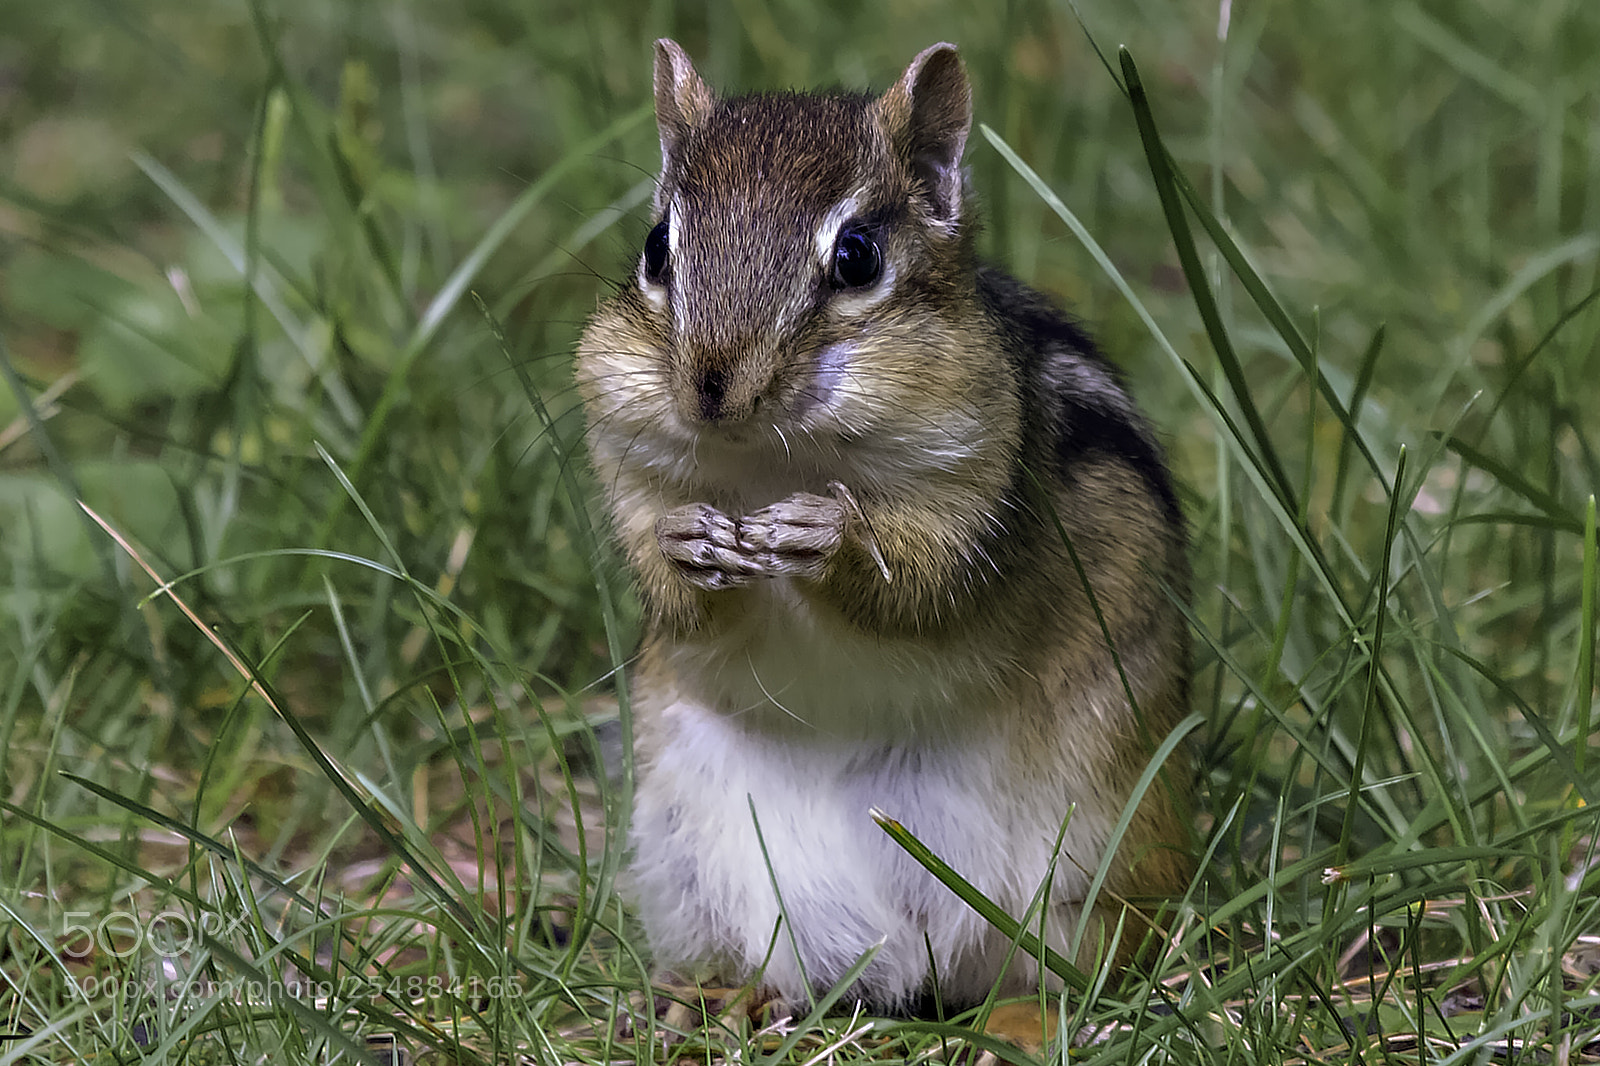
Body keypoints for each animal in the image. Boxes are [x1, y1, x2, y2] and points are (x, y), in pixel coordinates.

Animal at [575, 39, 1193, 1013]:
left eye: (858, 256)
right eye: (655, 248)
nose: (710, 388)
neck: (773, 461)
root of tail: (917, 960)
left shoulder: (981, 495)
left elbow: (926, 594)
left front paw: (832, 540)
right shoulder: (630, 470)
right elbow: (673, 595)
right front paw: (686, 547)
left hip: (1099, 851)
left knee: (1078, 967)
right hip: (700, 858)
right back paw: (727, 999)